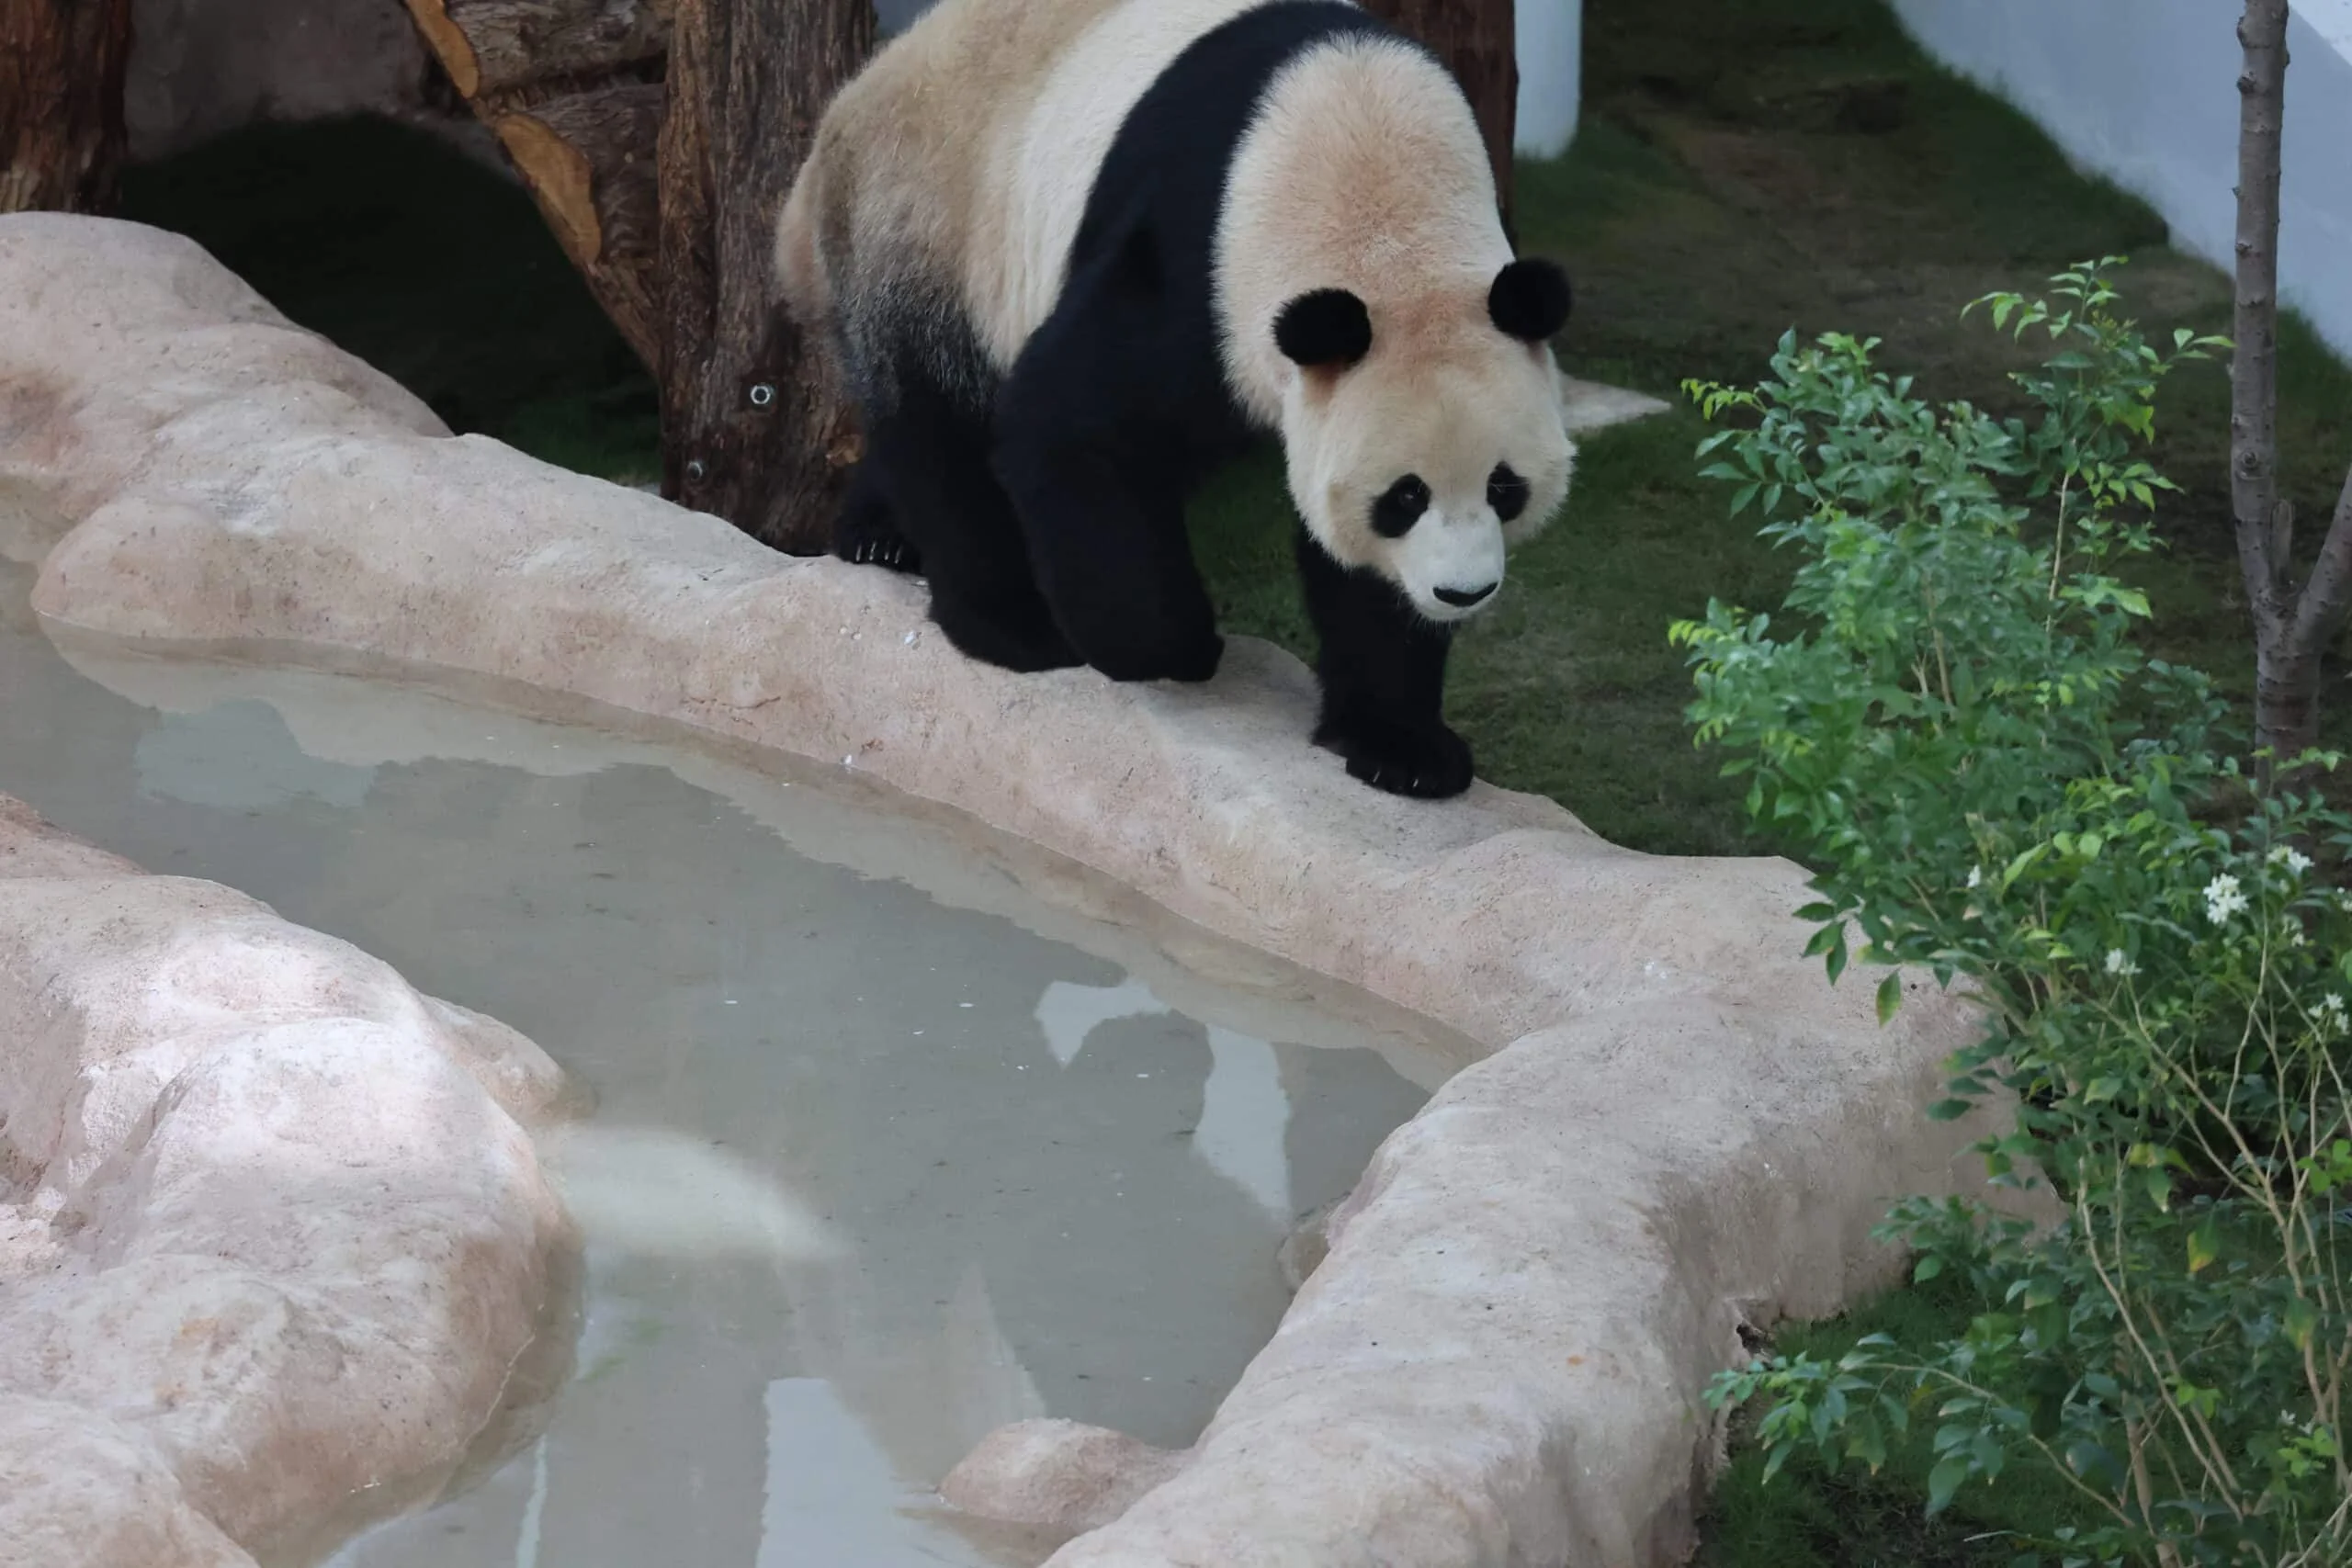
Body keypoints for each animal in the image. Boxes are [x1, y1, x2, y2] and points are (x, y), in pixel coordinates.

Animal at [774, 0, 1578, 799]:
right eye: (1404, 497)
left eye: (1504, 487)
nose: (1463, 592)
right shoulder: (1200, 260)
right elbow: (1069, 425)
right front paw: (1175, 644)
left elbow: (1358, 569)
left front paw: (1401, 746)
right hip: (928, 220)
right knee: (941, 421)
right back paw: (1009, 623)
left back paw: (879, 535)